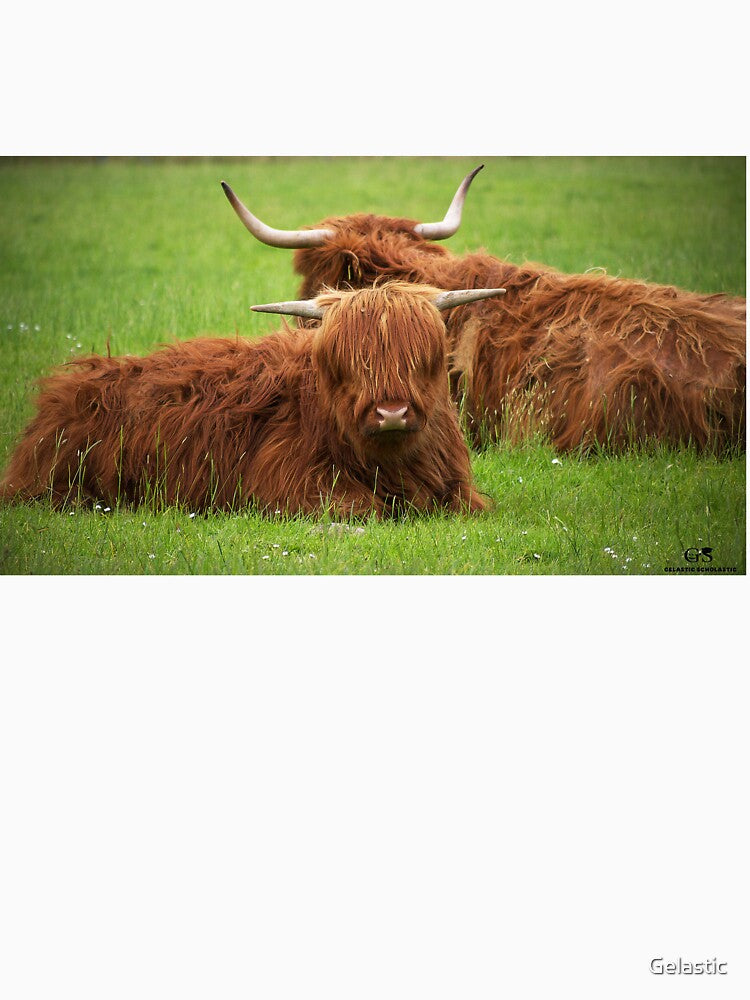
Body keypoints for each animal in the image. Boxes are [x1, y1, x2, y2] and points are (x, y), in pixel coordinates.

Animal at [0, 282, 505, 518]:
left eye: (424, 357)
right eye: (346, 362)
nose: (392, 412)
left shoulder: (455, 487)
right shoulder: (283, 482)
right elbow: (364, 508)